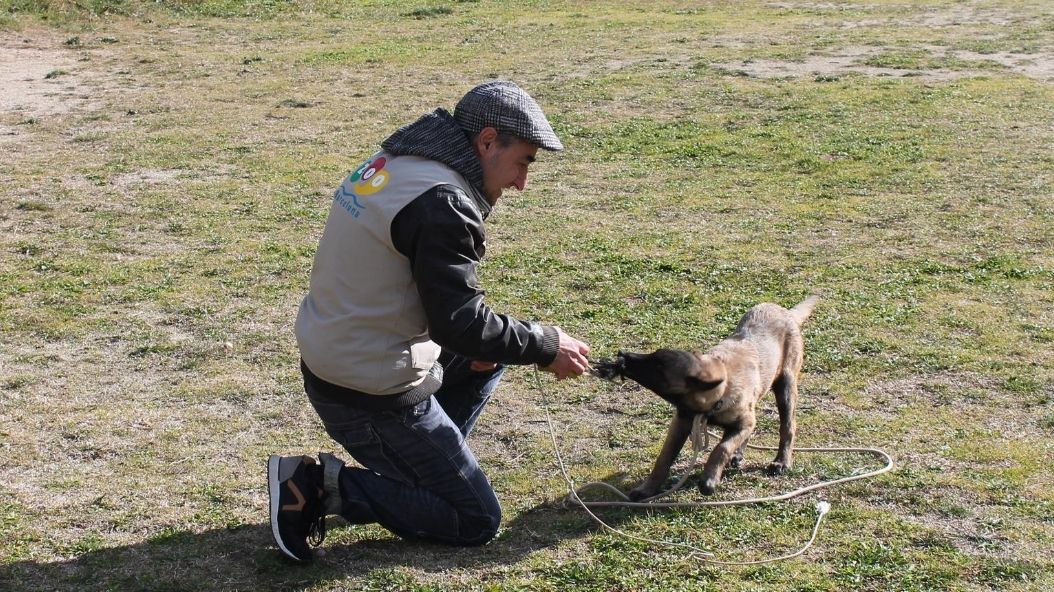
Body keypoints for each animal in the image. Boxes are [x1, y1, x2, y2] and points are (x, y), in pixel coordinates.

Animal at [598, 294, 817, 497]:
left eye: (659, 366)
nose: (623, 355)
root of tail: (786, 312)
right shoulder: (682, 422)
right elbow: (664, 457)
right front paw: (647, 489)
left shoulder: (743, 422)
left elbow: (722, 448)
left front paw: (709, 480)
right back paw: (739, 455)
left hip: (786, 385)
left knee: (787, 427)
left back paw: (781, 461)